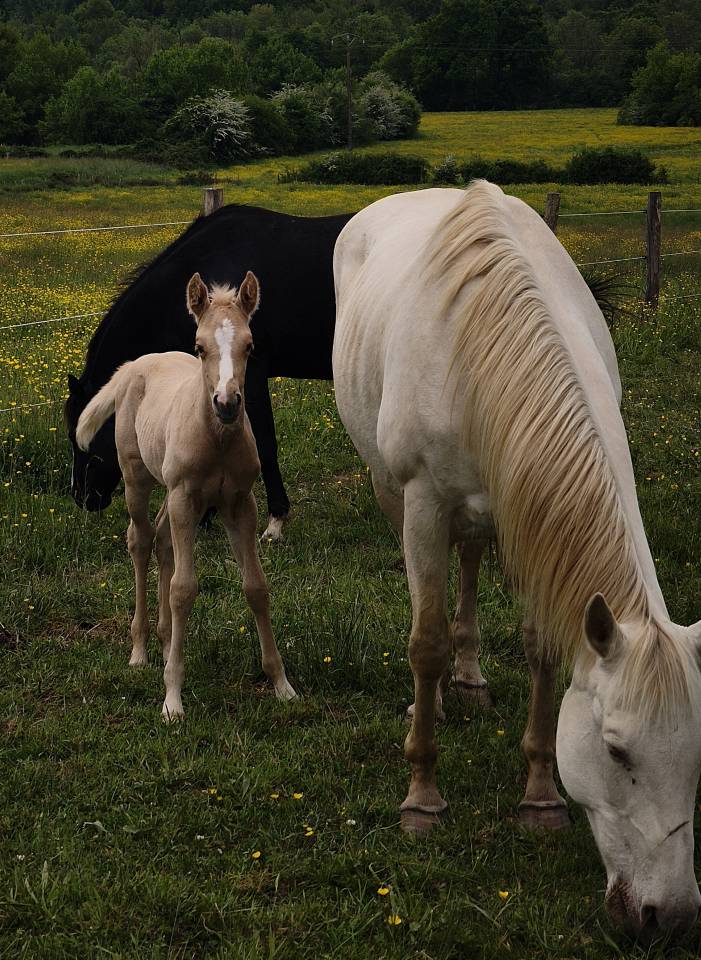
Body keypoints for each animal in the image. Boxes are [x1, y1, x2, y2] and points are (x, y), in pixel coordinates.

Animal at [76, 271, 296, 719]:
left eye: (250, 346)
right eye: (199, 346)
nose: (227, 404)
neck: (216, 439)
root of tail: (133, 365)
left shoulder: (240, 503)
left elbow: (256, 586)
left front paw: (281, 684)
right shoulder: (183, 498)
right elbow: (183, 589)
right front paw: (173, 698)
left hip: (173, 494)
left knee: (161, 540)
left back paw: (163, 642)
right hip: (139, 480)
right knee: (140, 540)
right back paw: (141, 649)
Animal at [333, 181, 701, 939]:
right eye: (616, 751)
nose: (672, 917)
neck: (483, 348)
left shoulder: (527, 508)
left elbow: (540, 647)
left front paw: (538, 795)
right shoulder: (423, 500)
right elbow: (424, 642)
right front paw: (422, 795)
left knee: (471, 562)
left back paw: (470, 678)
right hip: (390, 488)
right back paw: (435, 702)